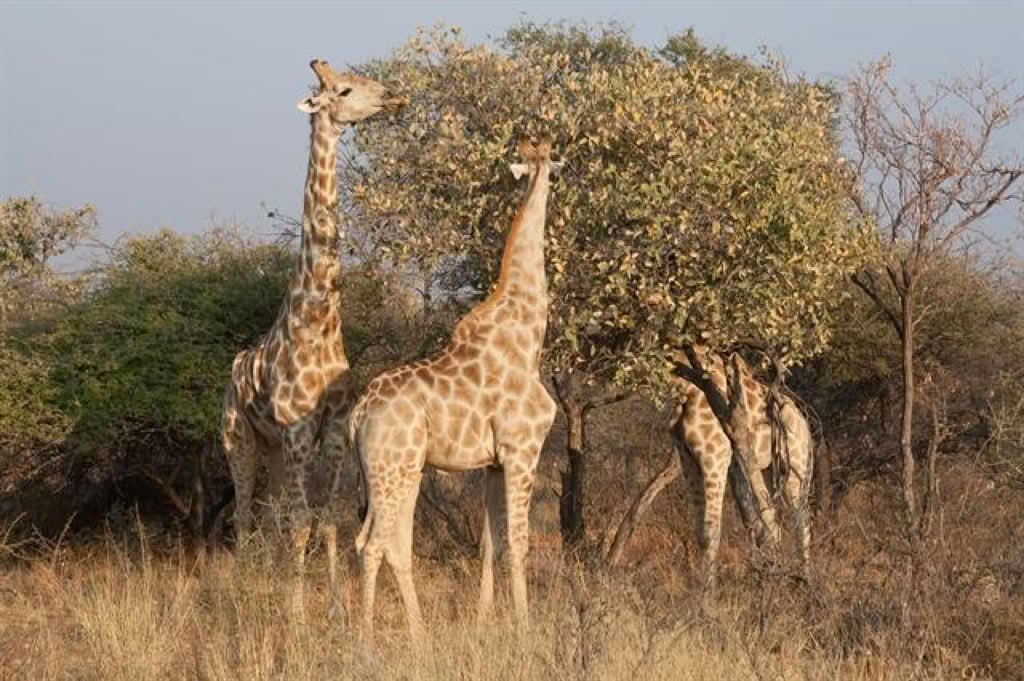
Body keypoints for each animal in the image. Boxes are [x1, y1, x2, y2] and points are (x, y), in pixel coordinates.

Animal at [220, 59, 403, 614]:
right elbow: (302, 521)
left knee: (271, 512)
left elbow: (329, 519)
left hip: (276, 451)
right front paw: (298, 612)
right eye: (342, 90)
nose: (392, 96)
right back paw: (244, 590)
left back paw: (268, 579)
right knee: (246, 513)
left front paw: (336, 606)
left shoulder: (335, 430)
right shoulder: (299, 430)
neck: (319, 318)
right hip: (239, 440)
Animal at [346, 134, 565, 643]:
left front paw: (484, 623)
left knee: (387, 543)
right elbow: (519, 542)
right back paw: (366, 639)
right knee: (373, 544)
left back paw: (420, 634)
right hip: (393, 469)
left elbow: (489, 544)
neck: (529, 333)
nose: (545, 172)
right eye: (542, 162)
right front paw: (526, 628)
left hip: (398, 471)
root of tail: (358, 414)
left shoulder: (493, 463)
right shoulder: (523, 450)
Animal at [667, 348, 811, 585]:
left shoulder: (715, 458)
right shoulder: (688, 460)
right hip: (766, 469)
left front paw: (706, 592)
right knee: (774, 521)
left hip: (795, 466)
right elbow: (699, 532)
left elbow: (711, 531)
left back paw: (806, 579)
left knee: (801, 521)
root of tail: (804, 422)